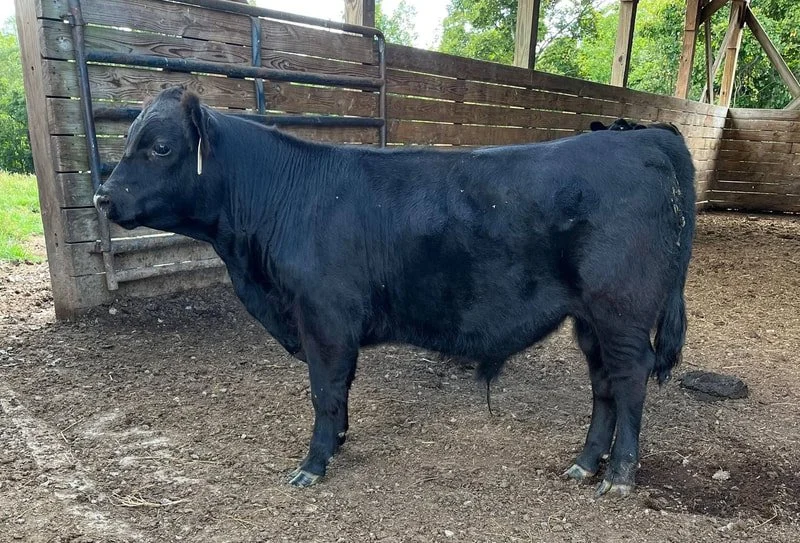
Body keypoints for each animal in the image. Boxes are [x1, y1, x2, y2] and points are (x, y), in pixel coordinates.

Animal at [93, 86, 695, 496]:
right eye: (127, 139)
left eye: (161, 147)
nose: (102, 197)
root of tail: (645, 137)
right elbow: (340, 390)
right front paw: (337, 441)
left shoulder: (324, 317)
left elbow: (325, 389)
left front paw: (313, 464)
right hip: (589, 317)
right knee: (603, 384)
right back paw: (585, 463)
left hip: (620, 309)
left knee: (631, 378)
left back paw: (619, 475)